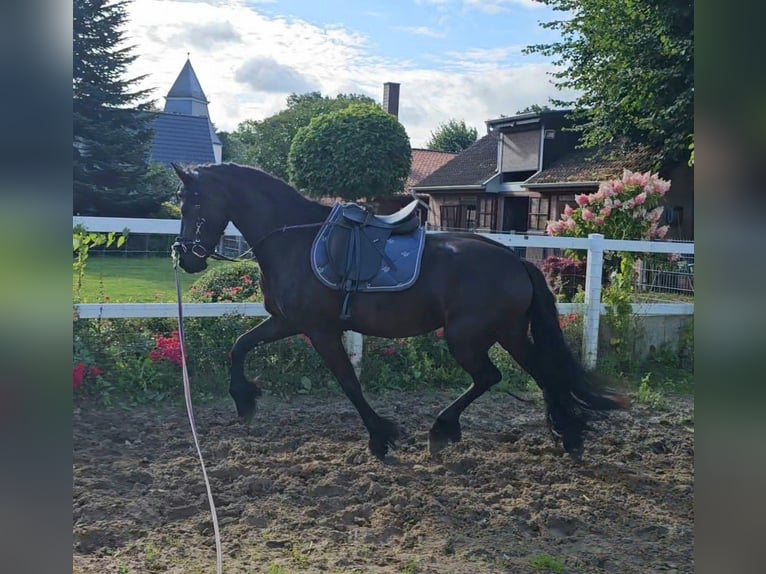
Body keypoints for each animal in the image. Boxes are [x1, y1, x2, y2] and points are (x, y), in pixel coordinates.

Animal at [172, 164, 632, 462]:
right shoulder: (287, 322)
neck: (294, 239)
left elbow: (349, 383)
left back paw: (443, 429)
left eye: (193, 202)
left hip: (467, 338)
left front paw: (381, 437)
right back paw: (568, 434)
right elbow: (240, 345)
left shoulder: (320, 330)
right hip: (510, 333)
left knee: (490, 376)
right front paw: (243, 399)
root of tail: (516, 261)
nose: (186, 257)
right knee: (542, 373)